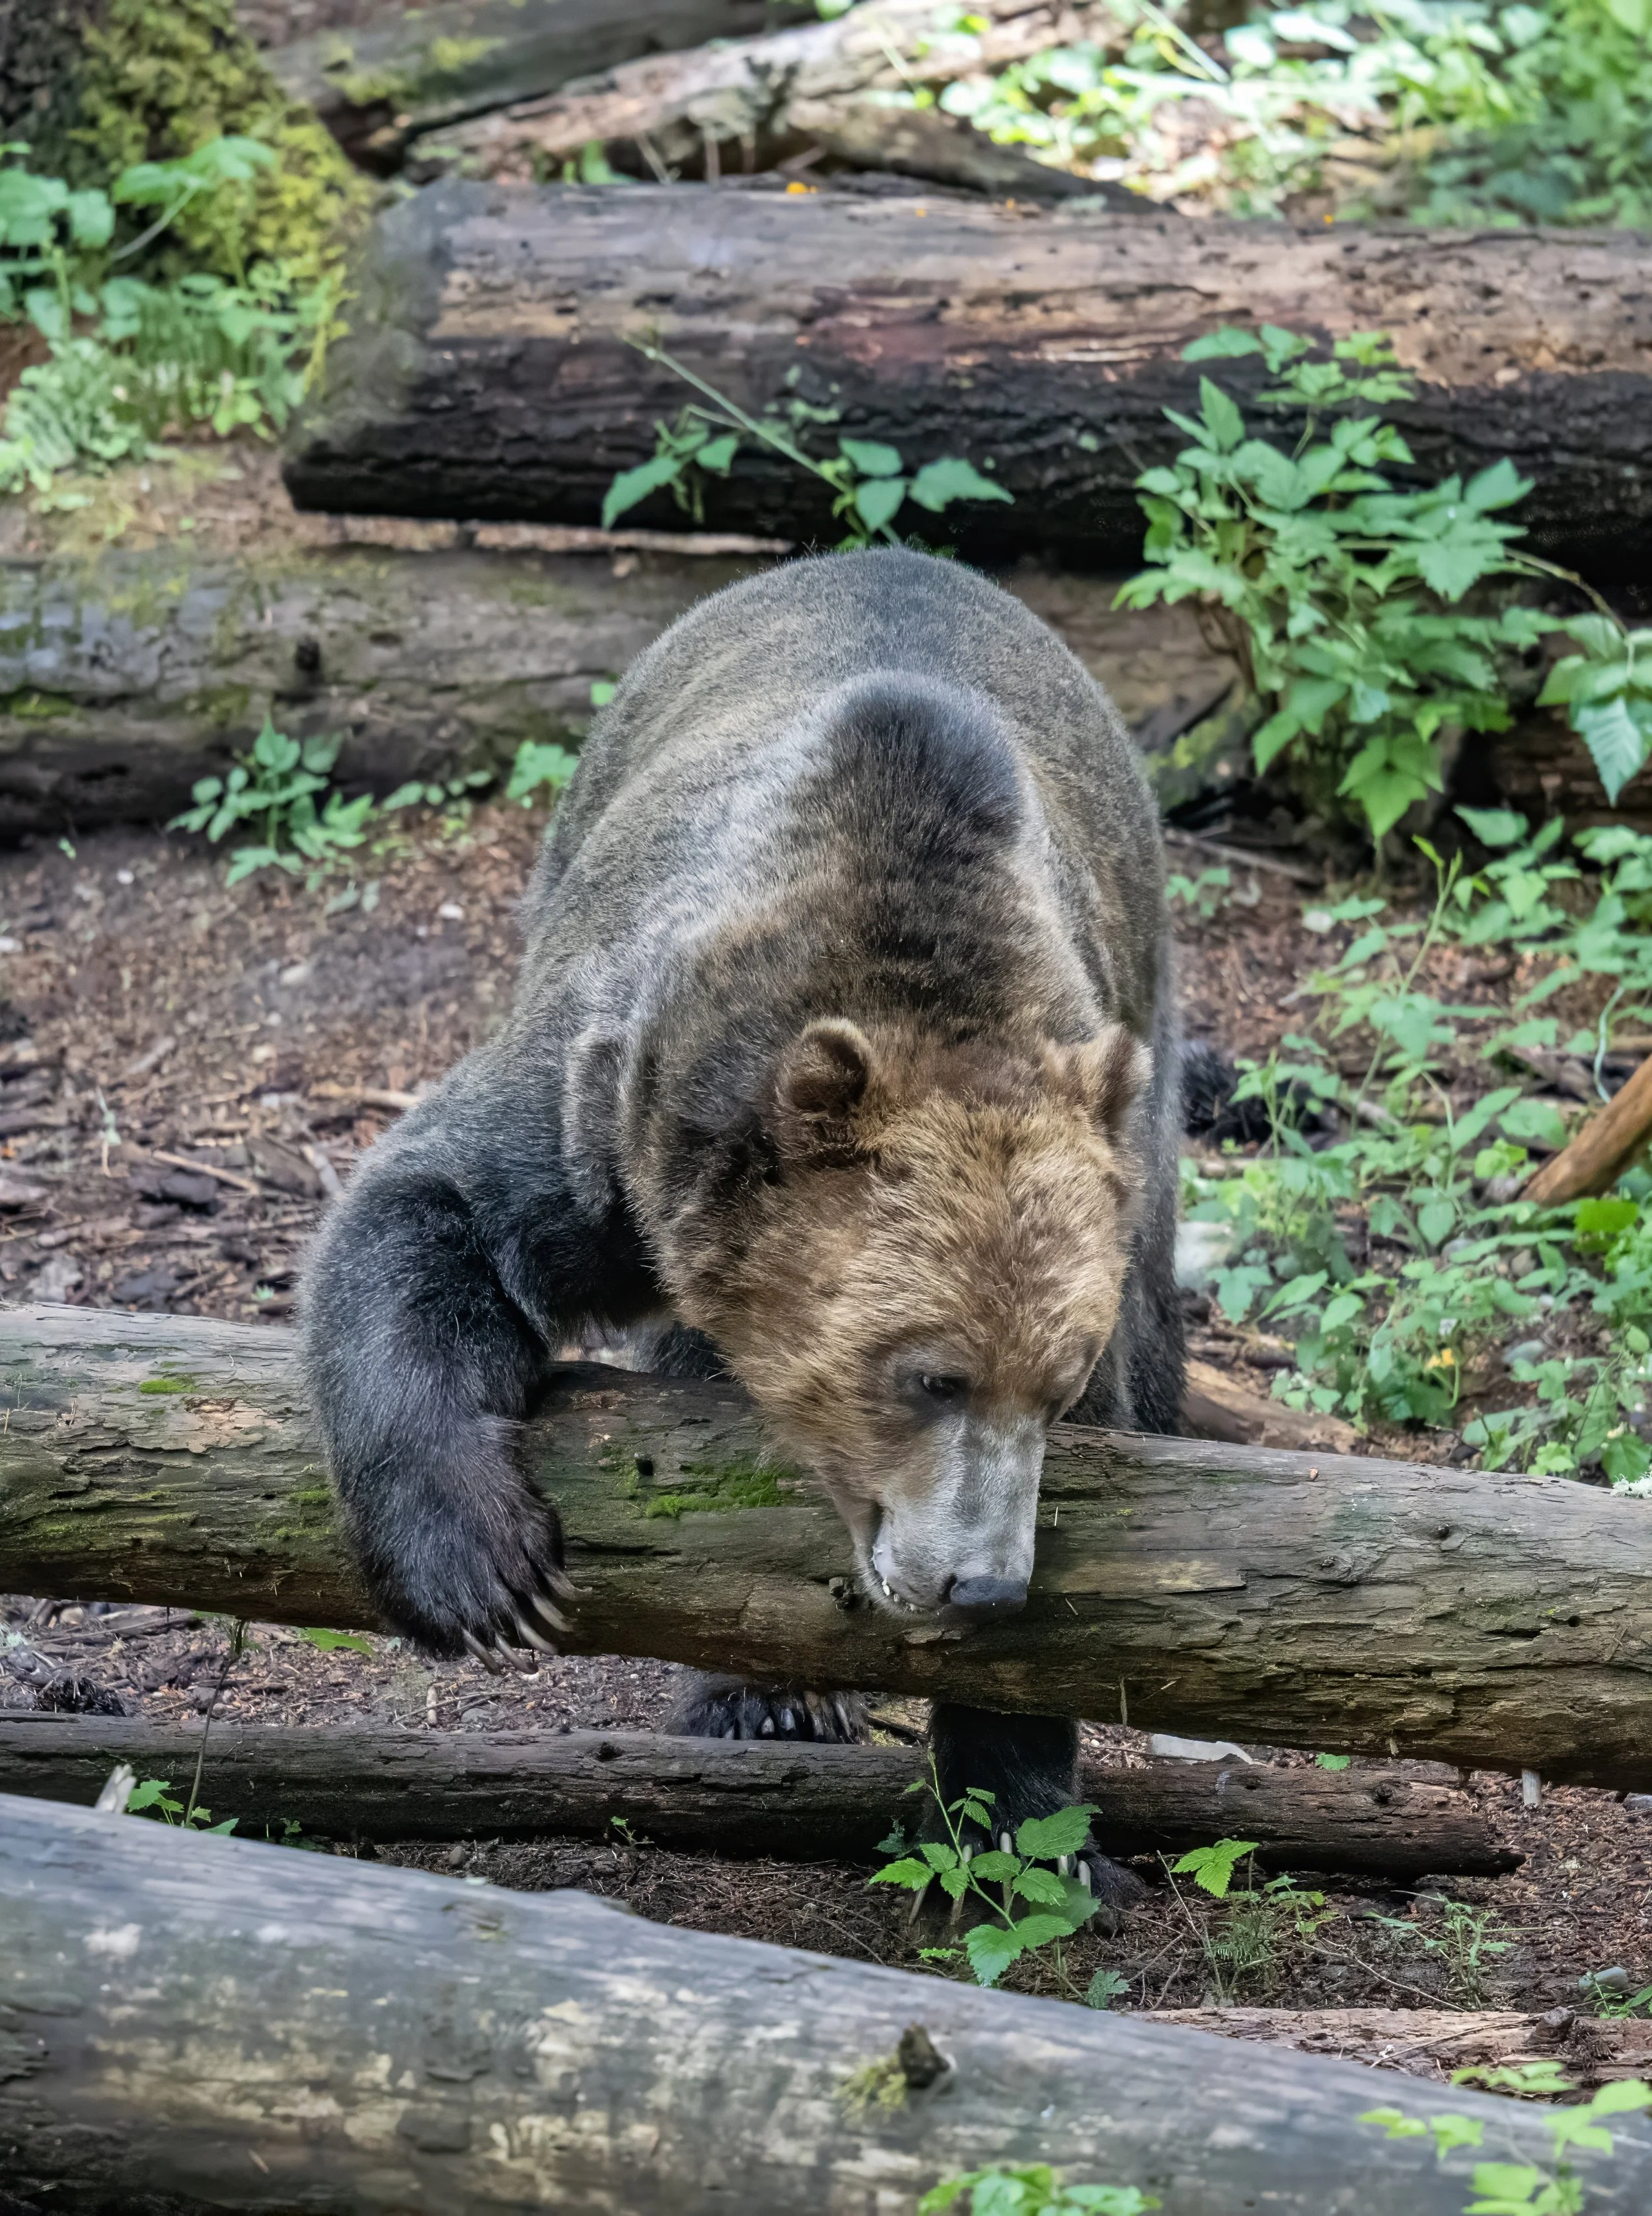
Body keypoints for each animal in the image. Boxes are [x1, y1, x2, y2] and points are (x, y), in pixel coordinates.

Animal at [302, 546, 1183, 1912]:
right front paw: (483, 1570)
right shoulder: (611, 1094)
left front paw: (1031, 1829)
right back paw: (755, 1700)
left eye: (1056, 1379)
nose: (984, 1579)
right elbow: (432, 1205)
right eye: (931, 1374)